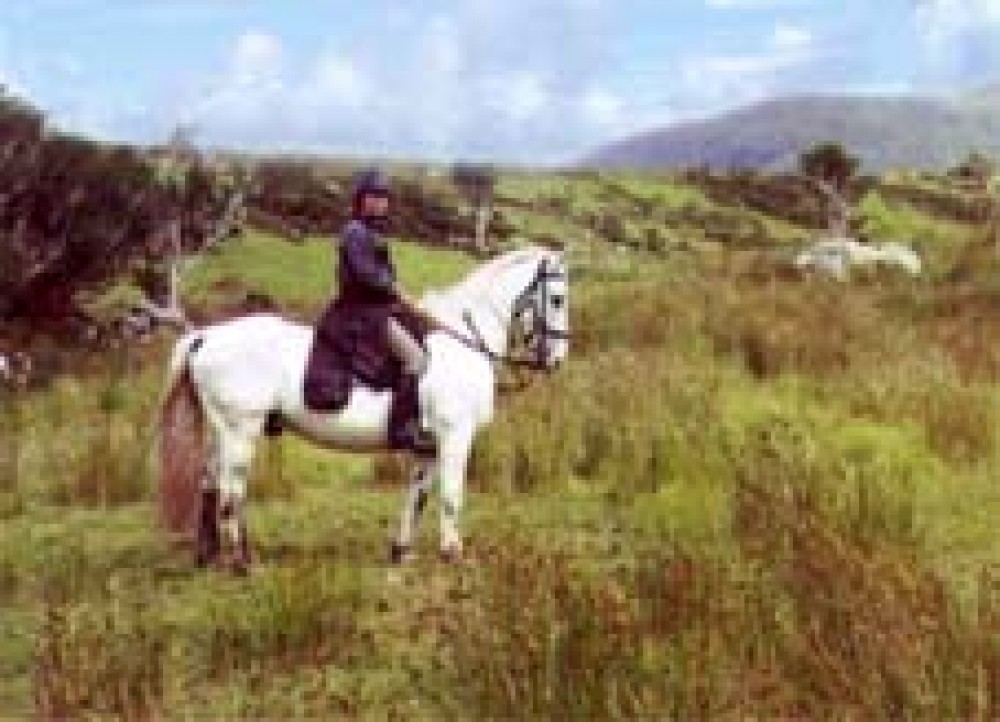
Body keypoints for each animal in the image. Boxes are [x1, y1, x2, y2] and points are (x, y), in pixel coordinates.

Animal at [161, 245, 576, 572]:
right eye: (557, 299)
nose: (556, 360)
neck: (460, 340)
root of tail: (205, 336)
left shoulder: (428, 446)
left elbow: (418, 497)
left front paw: (402, 552)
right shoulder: (455, 436)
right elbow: (451, 496)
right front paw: (453, 554)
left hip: (224, 431)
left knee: (209, 483)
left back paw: (209, 557)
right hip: (240, 431)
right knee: (231, 491)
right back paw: (242, 563)